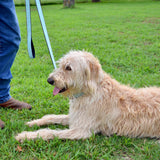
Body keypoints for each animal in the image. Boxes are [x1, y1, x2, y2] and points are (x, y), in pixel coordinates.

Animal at [15, 50, 160, 141]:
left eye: (68, 68)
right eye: (61, 65)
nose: (50, 80)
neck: (89, 91)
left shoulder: (81, 130)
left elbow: (49, 132)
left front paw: (25, 136)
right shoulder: (76, 117)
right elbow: (51, 117)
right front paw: (34, 122)